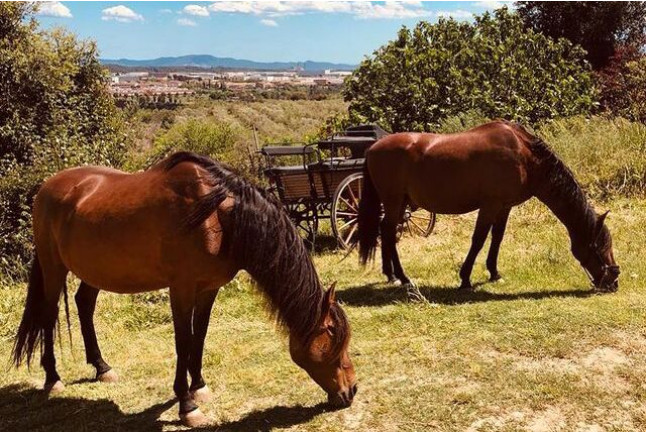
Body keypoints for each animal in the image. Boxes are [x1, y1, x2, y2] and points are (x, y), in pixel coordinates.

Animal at [12, 152, 357, 427]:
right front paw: (186, 405)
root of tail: (46, 188)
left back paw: (102, 368)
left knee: (84, 304)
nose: (351, 390)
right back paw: (52, 378)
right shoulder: (181, 288)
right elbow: (182, 341)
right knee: (48, 315)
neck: (217, 215)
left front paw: (198, 386)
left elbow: (199, 337)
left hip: (94, 271)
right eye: (332, 335)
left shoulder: (208, 289)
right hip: (53, 268)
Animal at [358, 120, 620, 301]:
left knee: (386, 231)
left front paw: (494, 273)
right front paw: (465, 278)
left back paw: (391, 275)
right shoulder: (490, 205)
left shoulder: (504, 207)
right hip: (394, 201)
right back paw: (403, 277)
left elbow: (497, 238)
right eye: (598, 247)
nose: (613, 282)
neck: (524, 155)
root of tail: (373, 147)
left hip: (400, 203)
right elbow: (479, 239)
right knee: (388, 232)